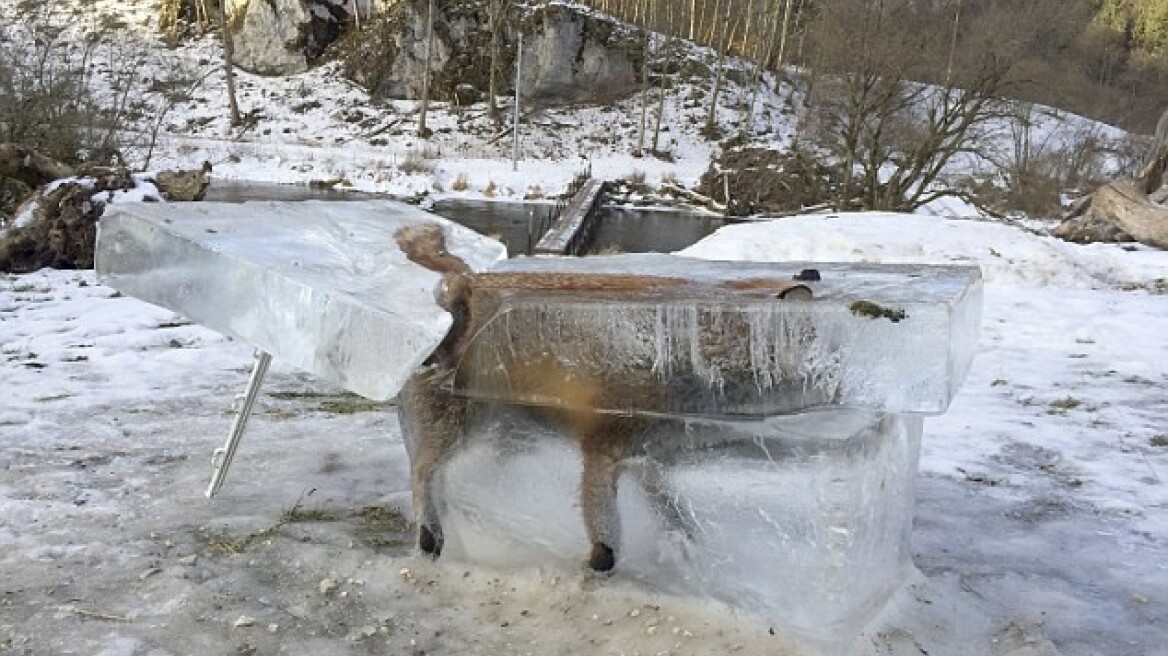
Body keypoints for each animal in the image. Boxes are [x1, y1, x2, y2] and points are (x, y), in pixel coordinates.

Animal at [394, 221, 812, 569]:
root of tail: (468, 280)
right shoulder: (603, 447)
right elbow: (606, 534)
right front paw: (600, 566)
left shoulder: (648, 455)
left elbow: (671, 508)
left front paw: (682, 544)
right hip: (459, 428)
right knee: (423, 472)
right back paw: (431, 534)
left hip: (505, 436)